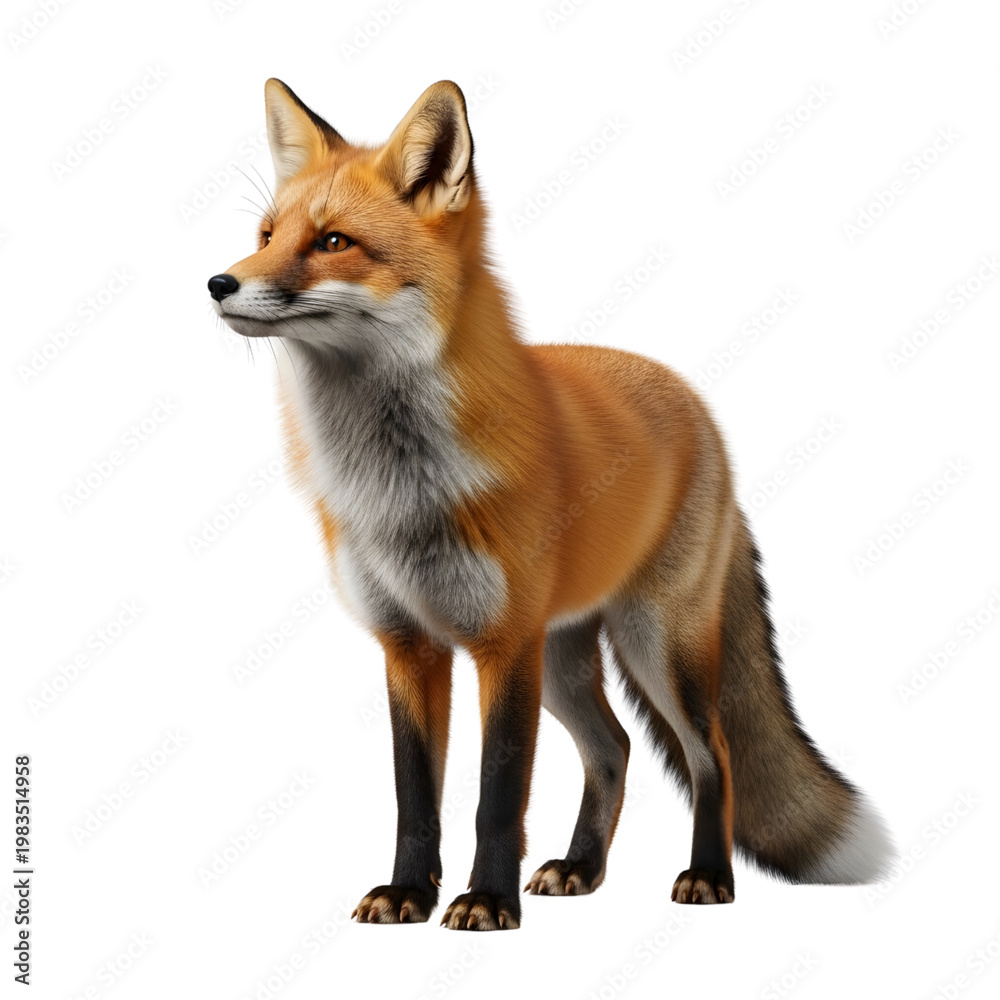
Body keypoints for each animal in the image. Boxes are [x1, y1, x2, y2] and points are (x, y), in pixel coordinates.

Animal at [209, 78, 893, 931]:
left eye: (334, 242)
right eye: (265, 235)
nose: (219, 283)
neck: (397, 487)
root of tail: (697, 406)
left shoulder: (506, 644)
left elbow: (496, 796)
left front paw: (485, 900)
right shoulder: (409, 645)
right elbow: (414, 796)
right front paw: (408, 893)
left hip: (655, 644)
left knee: (712, 755)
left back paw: (708, 876)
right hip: (568, 661)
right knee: (615, 749)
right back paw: (582, 869)